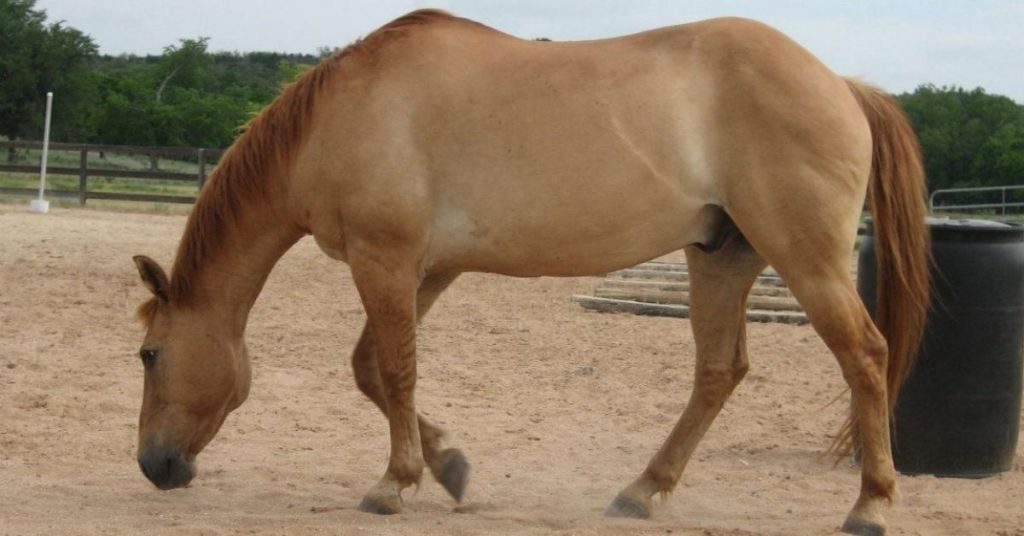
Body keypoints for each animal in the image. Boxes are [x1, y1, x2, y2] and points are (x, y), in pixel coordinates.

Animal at [130, 10, 929, 535]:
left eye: (149, 355)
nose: (153, 466)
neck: (342, 118)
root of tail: (842, 84)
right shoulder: (428, 269)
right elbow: (372, 368)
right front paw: (448, 467)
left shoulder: (385, 260)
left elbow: (394, 371)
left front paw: (393, 484)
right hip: (722, 258)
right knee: (718, 372)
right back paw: (641, 491)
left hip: (805, 259)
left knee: (866, 356)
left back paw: (870, 505)